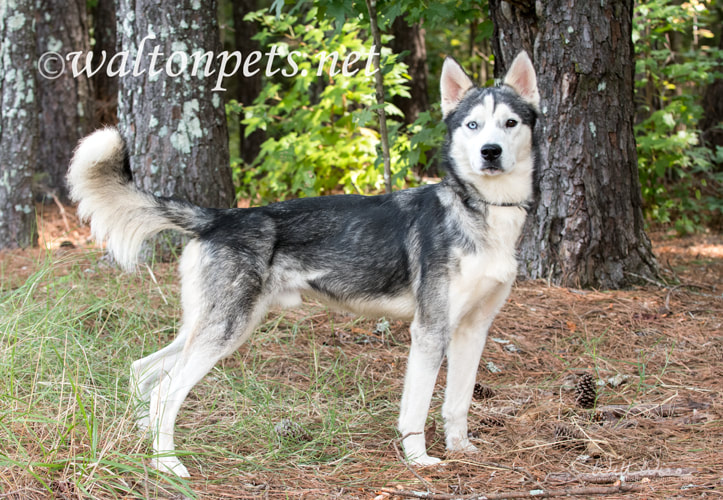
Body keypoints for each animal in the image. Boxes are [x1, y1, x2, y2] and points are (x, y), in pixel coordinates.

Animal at [68, 51, 540, 476]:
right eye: (472, 125)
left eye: (510, 124)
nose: (490, 152)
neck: (484, 211)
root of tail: (220, 217)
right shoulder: (430, 331)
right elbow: (416, 409)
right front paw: (418, 460)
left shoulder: (472, 331)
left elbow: (457, 403)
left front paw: (461, 449)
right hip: (224, 331)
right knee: (165, 391)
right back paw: (168, 465)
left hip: (208, 327)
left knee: (142, 373)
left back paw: (142, 444)